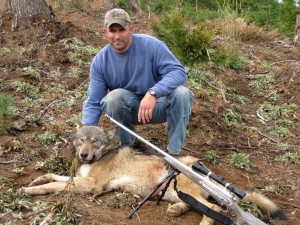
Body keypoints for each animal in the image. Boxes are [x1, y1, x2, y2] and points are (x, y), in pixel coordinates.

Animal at [21, 124, 288, 224]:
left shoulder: (92, 185)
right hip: (171, 192)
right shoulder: (82, 179)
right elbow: (55, 178)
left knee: (213, 210)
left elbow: (53, 187)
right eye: (81, 141)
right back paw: (176, 210)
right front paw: (38, 179)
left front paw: (29, 190)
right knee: (194, 205)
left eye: (94, 142)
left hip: (183, 188)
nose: (83, 155)